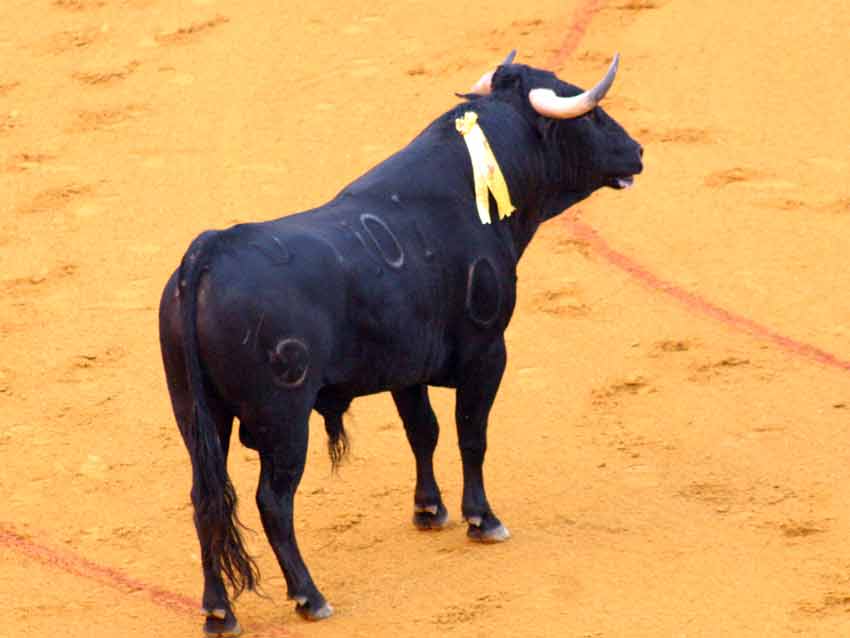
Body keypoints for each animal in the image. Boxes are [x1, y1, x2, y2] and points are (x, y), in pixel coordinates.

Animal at [156, 58, 640, 636]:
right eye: (589, 113)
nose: (637, 150)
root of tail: (205, 254)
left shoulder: (406, 369)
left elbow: (422, 432)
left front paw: (429, 510)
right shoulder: (487, 353)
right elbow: (471, 435)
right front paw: (482, 518)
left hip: (196, 415)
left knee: (204, 497)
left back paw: (218, 611)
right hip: (284, 419)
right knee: (273, 501)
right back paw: (310, 596)